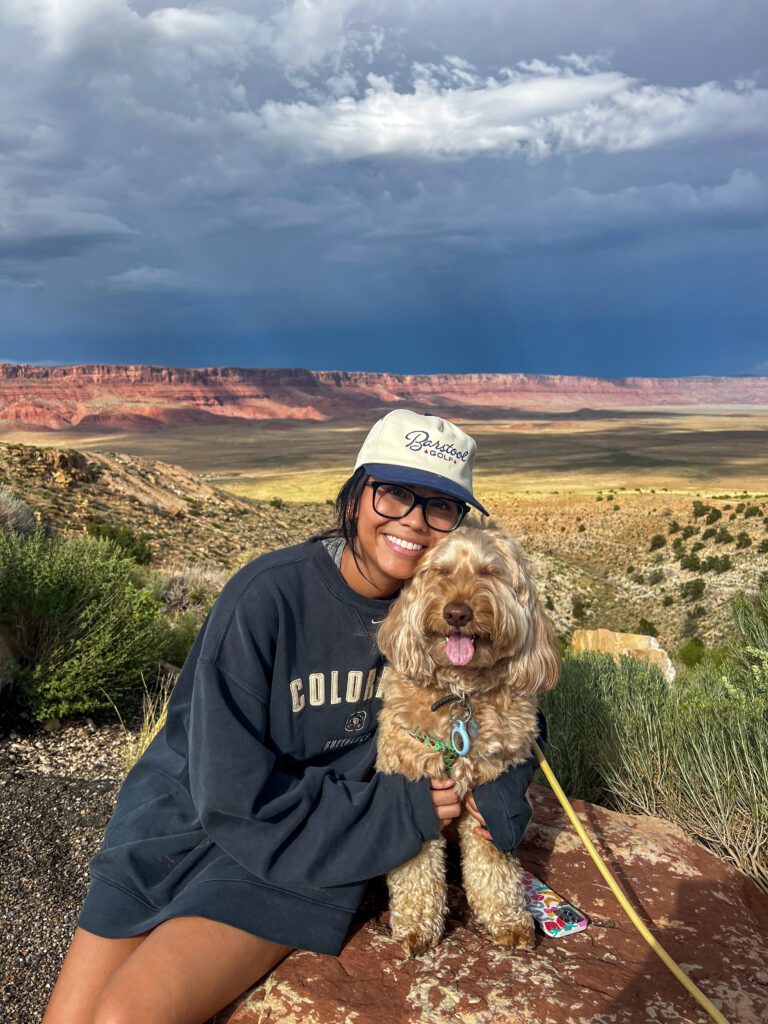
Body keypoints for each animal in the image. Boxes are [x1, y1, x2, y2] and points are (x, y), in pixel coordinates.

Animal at [374, 516, 561, 954]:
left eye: (489, 572)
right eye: (441, 572)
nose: (457, 613)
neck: (460, 695)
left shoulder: (489, 790)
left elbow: (493, 862)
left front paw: (508, 918)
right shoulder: (415, 782)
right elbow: (416, 866)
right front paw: (416, 925)